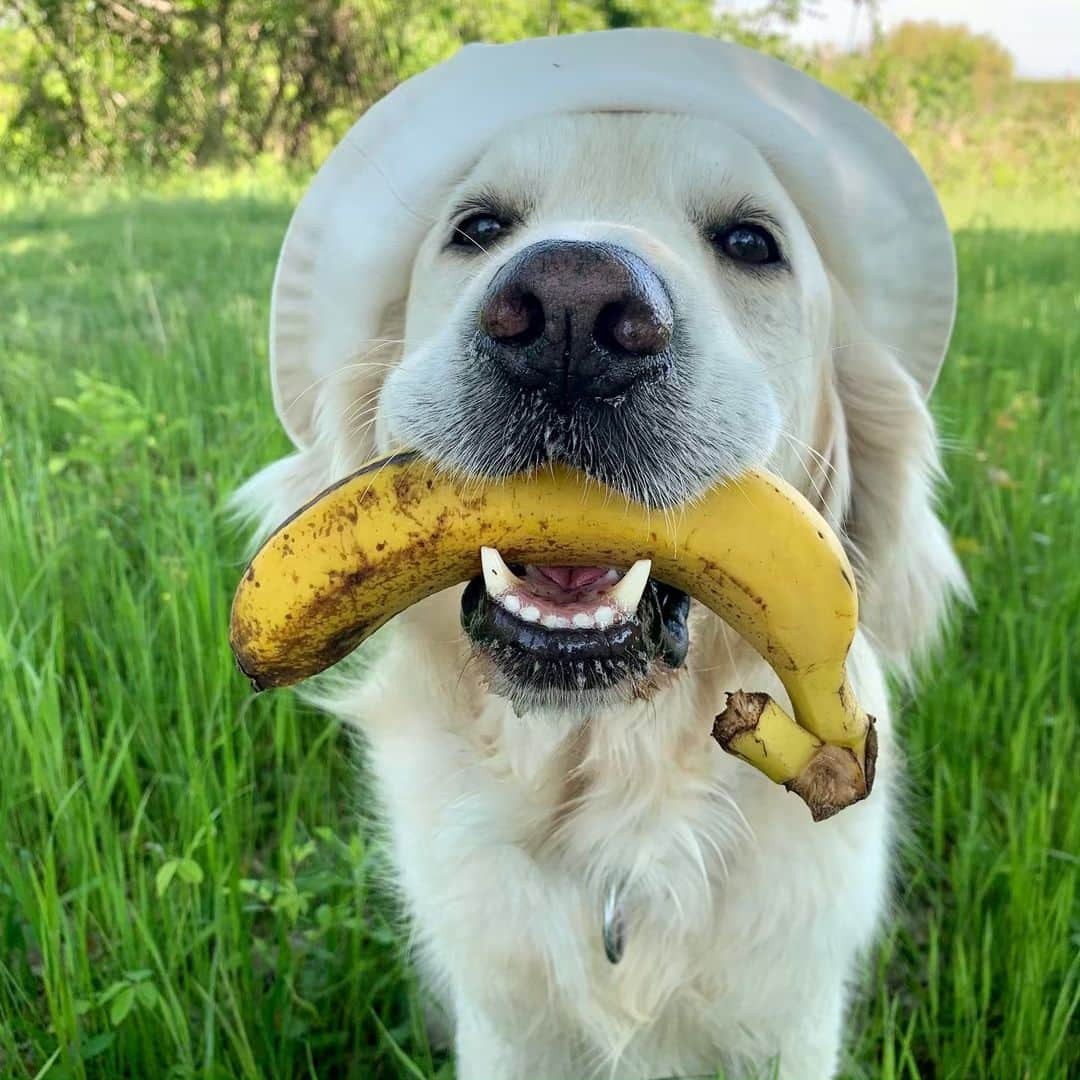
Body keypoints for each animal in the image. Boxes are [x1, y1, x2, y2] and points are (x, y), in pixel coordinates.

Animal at [234, 33, 963, 1080]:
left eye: (752, 242)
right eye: (477, 226)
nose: (570, 310)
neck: (613, 822)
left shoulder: (789, 1024)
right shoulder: (503, 1031)